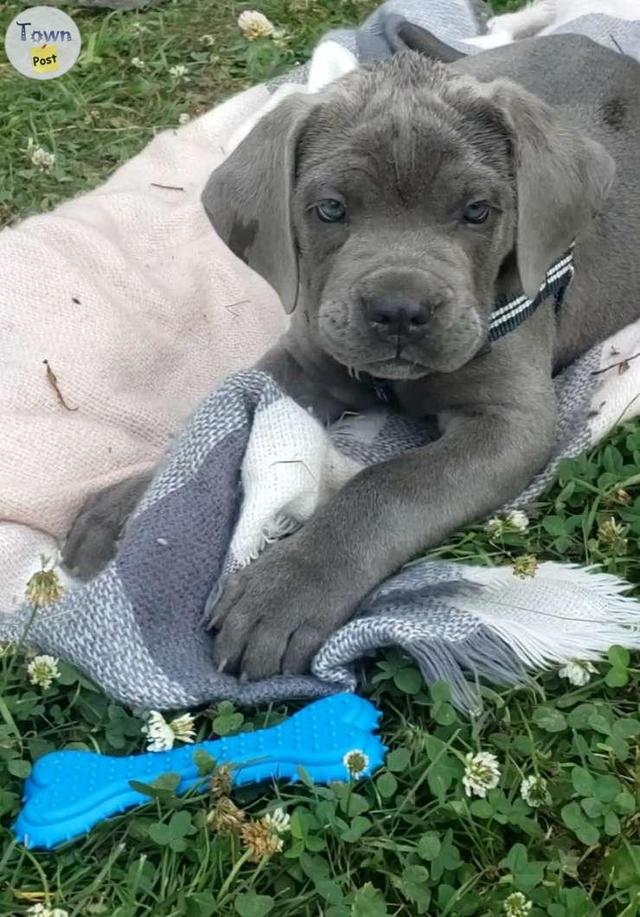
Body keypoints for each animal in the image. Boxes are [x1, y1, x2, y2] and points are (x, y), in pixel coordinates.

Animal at [63, 35, 640, 680]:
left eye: (477, 211)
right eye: (331, 209)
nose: (399, 310)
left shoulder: (509, 422)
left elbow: (388, 485)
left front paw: (287, 589)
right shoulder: (306, 358)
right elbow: (216, 413)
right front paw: (131, 504)